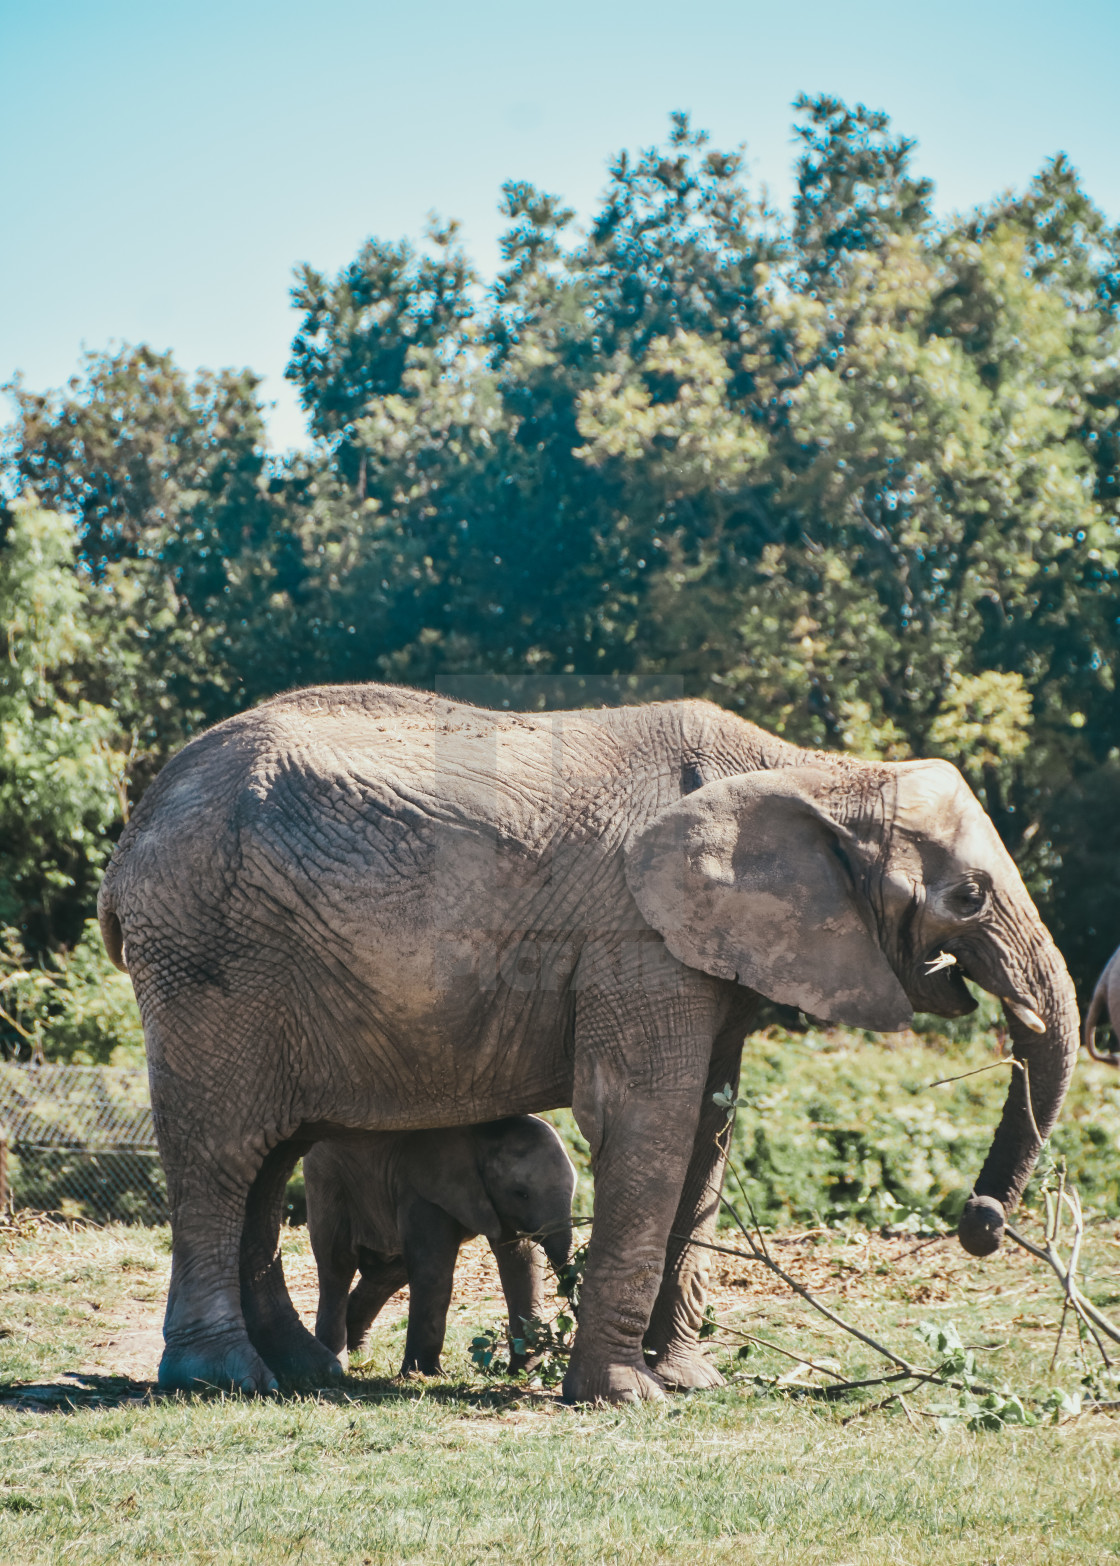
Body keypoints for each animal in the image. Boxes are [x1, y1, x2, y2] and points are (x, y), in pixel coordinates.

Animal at [302, 1114, 573, 1371]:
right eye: (521, 1193)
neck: (483, 1133)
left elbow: (522, 1261)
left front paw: (526, 1369)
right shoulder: (424, 1185)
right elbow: (432, 1269)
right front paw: (423, 1373)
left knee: (387, 1273)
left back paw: (359, 1353)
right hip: (328, 1179)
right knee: (338, 1263)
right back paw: (336, 1361)